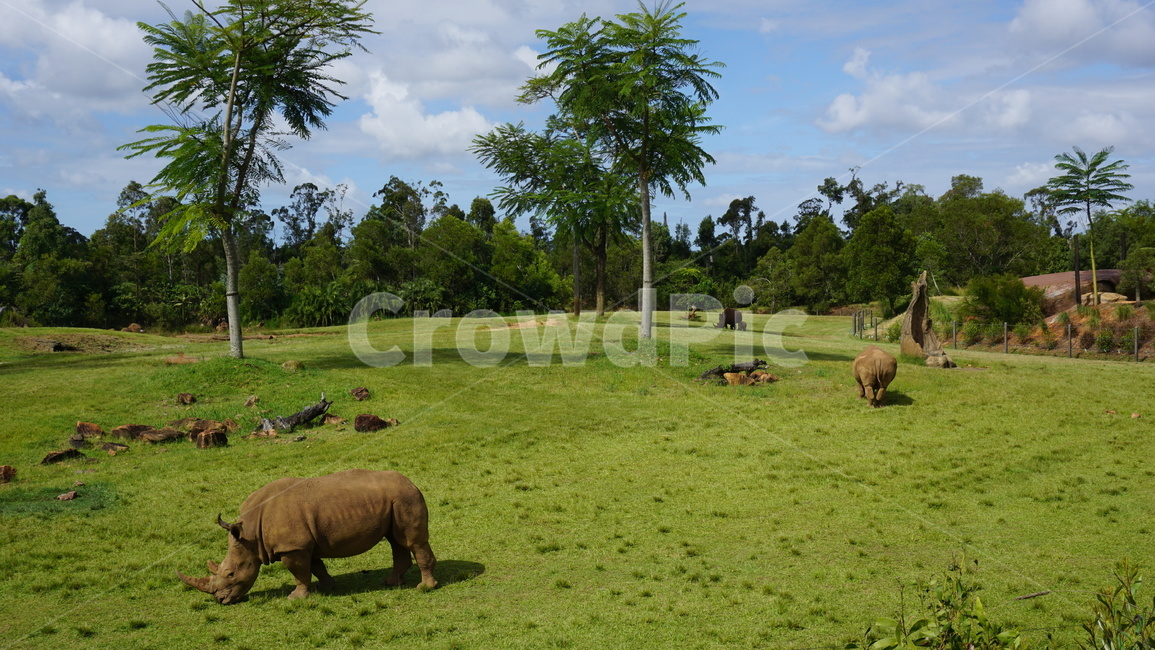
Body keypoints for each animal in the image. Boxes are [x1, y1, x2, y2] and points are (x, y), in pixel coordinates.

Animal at [178, 469, 437, 604]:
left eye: (231, 574)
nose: (220, 600)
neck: (250, 534)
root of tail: (412, 482)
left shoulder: (292, 547)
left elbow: (300, 573)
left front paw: (296, 597)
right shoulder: (302, 544)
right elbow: (316, 566)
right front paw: (327, 587)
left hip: (405, 499)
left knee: (412, 542)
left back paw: (424, 588)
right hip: (394, 500)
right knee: (396, 541)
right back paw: (391, 583)